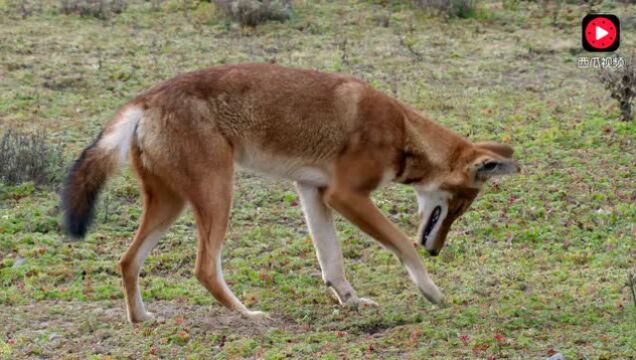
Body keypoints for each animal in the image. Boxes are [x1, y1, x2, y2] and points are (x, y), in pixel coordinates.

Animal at [59, 64, 520, 324]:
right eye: (459, 205)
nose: (437, 250)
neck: (403, 130)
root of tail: (146, 98)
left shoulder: (313, 192)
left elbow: (332, 263)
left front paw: (351, 303)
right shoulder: (345, 196)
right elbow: (403, 246)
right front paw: (431, 291)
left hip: (171, 206)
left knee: (127, 261)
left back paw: (142, 320)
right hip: (217, 198)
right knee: (204, 269)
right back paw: (249, 315)